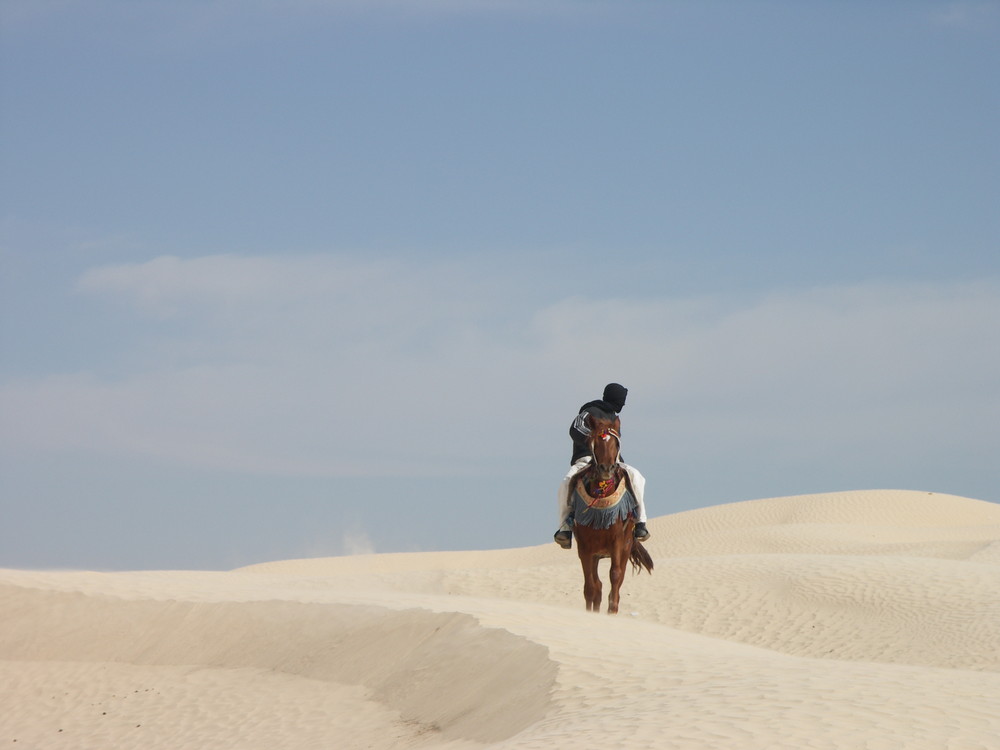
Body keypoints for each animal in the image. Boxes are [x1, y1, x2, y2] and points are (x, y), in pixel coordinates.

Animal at [572, 414, 656, 612]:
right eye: (595, 442)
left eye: (617, 443)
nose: (606, 469)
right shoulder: (585, 549)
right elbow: (590, 587)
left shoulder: (618, 543)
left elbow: (615, 577)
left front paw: (612, 611)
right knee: (597, 586)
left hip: (624, 549)